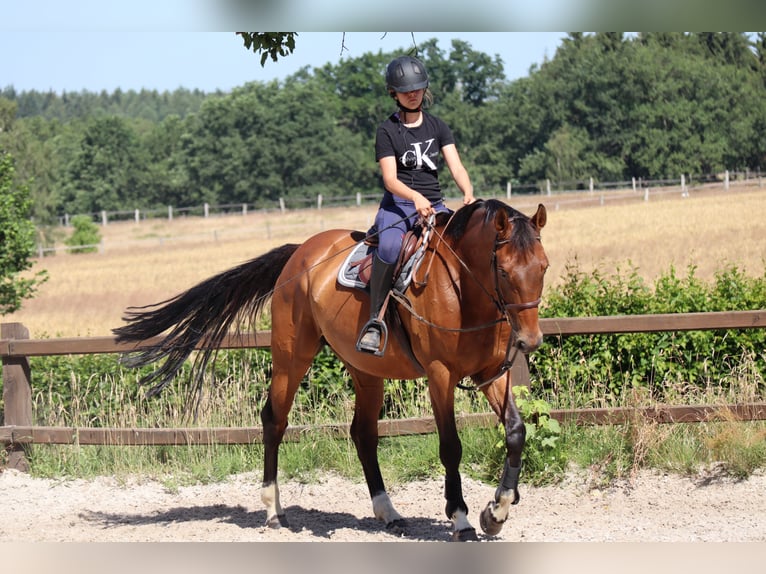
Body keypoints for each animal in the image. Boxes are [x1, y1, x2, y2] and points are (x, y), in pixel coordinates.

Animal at [114, 200, 548, 544]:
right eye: (504, 272)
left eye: (543, 268)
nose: (530, 341)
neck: (463, 291)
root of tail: (301, 251)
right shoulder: (440, 376)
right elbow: (450, 447)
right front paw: (461, 520)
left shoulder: (492, 373)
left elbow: (516, 431)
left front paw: (497, 511)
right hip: (292, 357)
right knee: (274, 421)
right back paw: (273, 510)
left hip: (366, 370)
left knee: (363, 434)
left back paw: (388, 512)